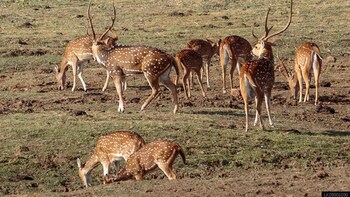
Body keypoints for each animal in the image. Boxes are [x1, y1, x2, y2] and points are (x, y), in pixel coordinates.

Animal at [239, 0, 294, 132]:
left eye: (256, 46)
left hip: (244, 89)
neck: (268, 60)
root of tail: (246, 71)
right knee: (259, 106)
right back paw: (263, 126)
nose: (251, 52)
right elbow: (268, 104)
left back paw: (247, 127)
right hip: (258, 87)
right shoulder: (269, 85)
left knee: (246, 105)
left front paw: (255, 123)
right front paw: (272, 123)